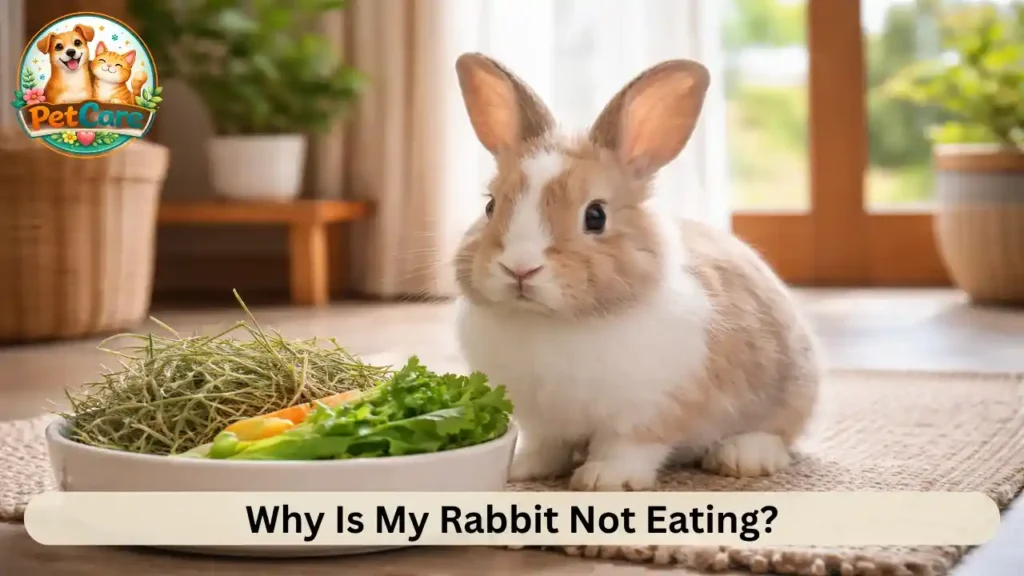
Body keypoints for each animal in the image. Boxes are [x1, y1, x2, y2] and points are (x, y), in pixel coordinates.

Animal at [451, 52, 822, 492]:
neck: (552, 322)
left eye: (596, 216)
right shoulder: (543, 421)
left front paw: (603, 480)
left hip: (790, 390)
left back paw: (742, 457)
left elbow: (628, 448)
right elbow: (546, 446)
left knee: (778, 433)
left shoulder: (648, 413)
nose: (520, 268)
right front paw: (522, 468)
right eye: (490, 206)